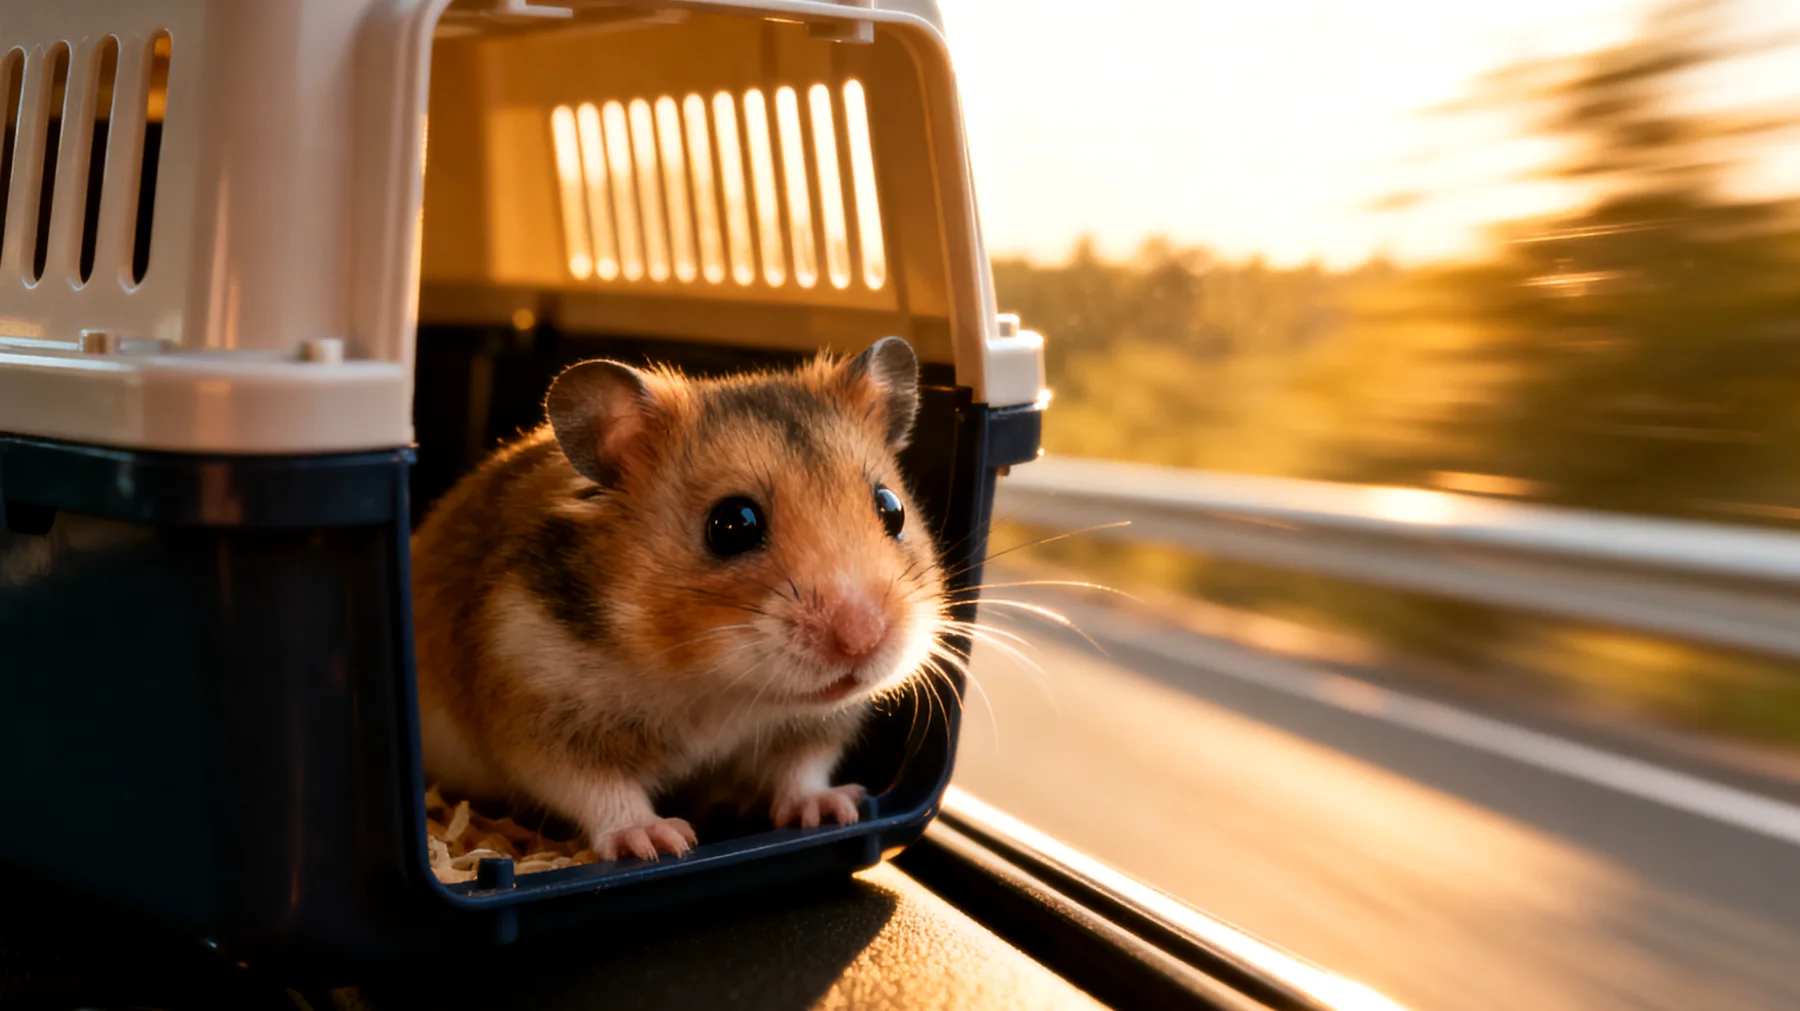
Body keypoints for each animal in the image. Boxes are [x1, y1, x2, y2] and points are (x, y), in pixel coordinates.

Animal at [409, 337, 946, 862]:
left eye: (892, 508)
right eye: (733, 524)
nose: (863, 641)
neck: (714, 682)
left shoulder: (812, 727)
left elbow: (801, 769)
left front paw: (836, 811)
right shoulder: (538, 713)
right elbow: (598, 788)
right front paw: (660, 842)